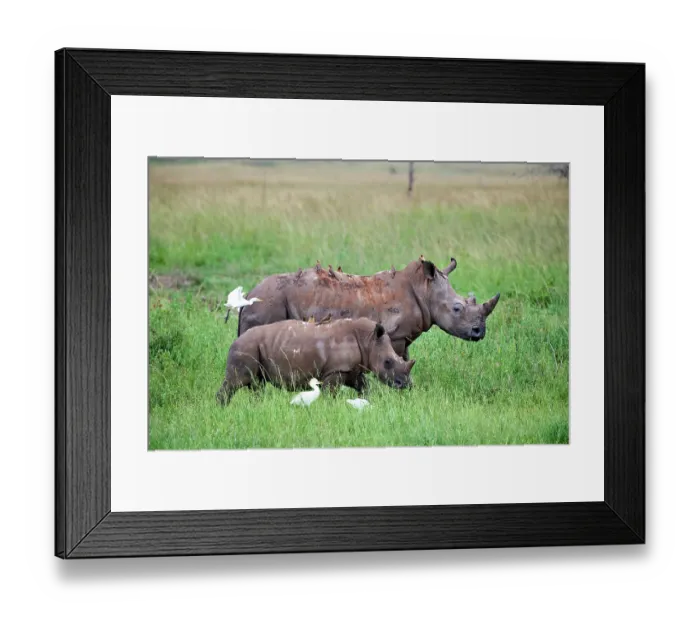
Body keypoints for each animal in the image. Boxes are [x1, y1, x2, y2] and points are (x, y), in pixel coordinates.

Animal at [216, 318, 416, 406]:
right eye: (388, 362)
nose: (406, 385)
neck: (368, 340)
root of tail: (235, 340)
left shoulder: (350, 370)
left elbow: (365, 387)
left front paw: (366, 401)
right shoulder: (335, 371)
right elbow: (330, 394)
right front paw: (330, 408)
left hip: (253, 347)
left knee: (257, 384)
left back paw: (257, 407)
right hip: (245, 348)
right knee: (237, 381)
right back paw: (222, 409)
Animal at [235, 256, 500, 361]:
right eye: (457, 309)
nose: (480, 332)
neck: (424, 290)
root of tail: (248, 295)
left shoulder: (402, 336)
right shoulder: (396, 334)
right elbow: (395, 356)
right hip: (269, 302)